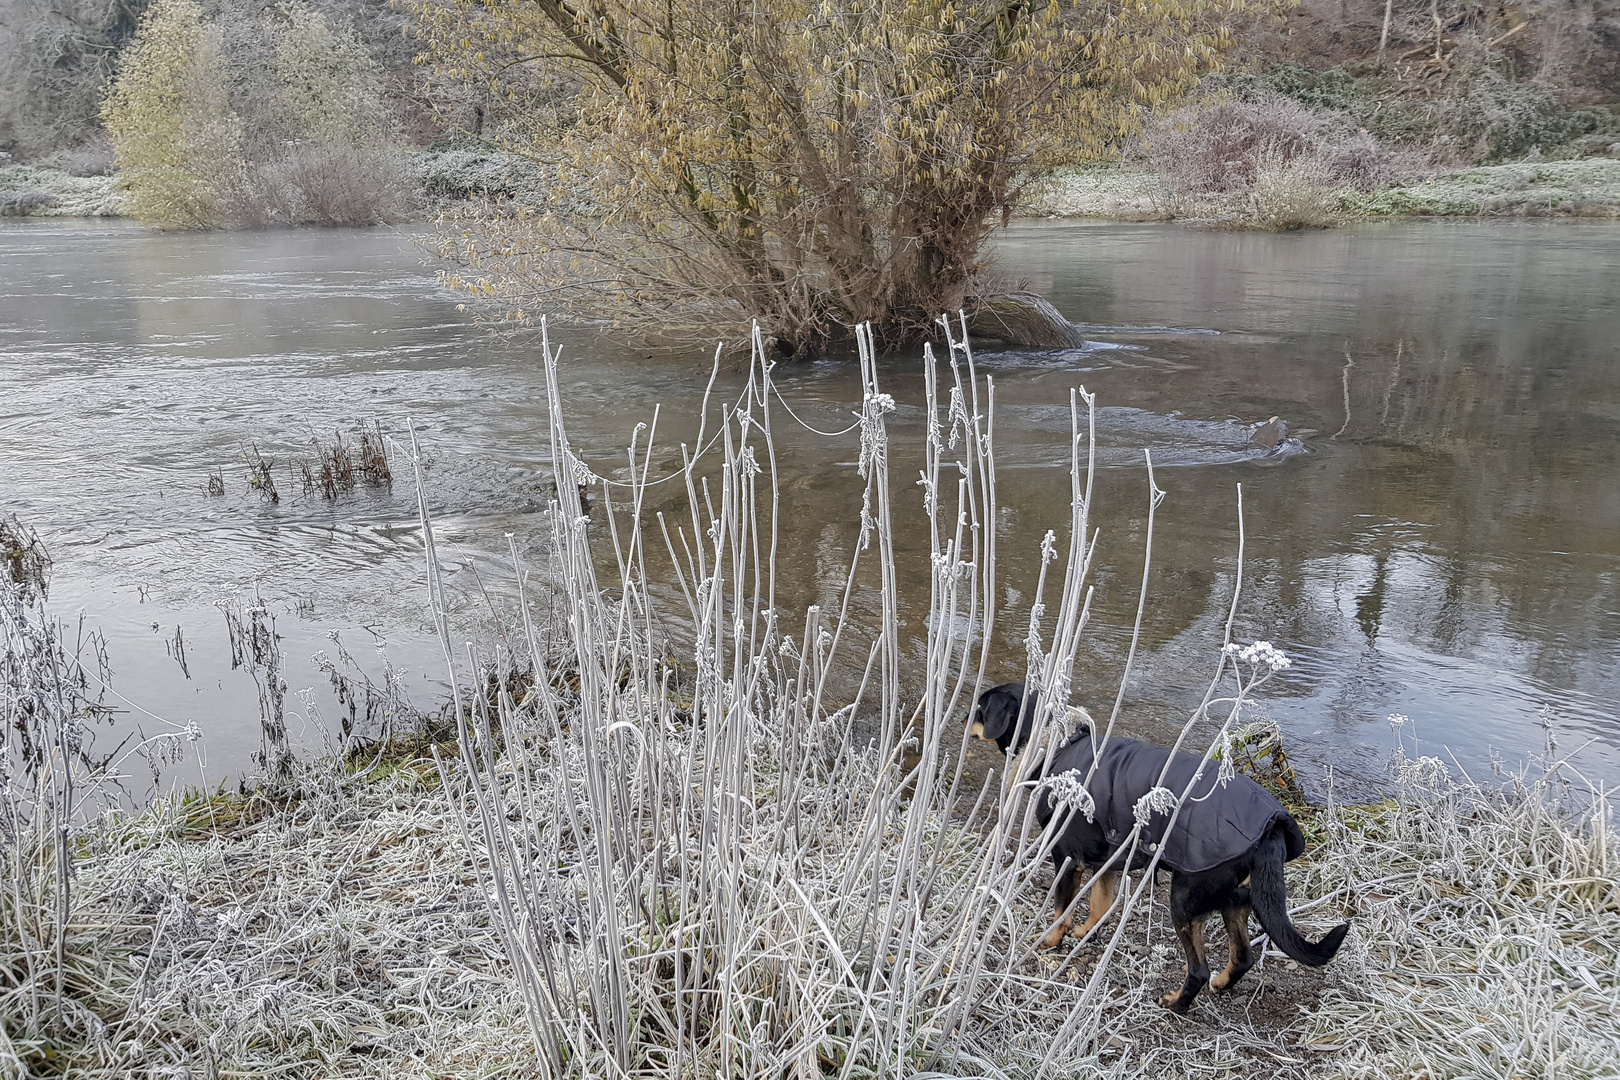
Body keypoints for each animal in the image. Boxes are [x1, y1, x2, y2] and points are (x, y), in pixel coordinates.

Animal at [965, 683, 1347, 1016]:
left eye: (982, 707)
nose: (965, 715)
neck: (1061, 742)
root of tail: (1271, 827)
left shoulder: (1068, 858)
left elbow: (1062, 908)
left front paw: (1050, 940)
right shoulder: (1110, 859)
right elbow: (1099, 905)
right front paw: (1086, 933)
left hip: (1184, 901)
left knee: (1198, 970)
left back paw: (1176, 1003)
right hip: (1236, 900)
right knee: (1242, 958)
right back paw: (1221, 984)